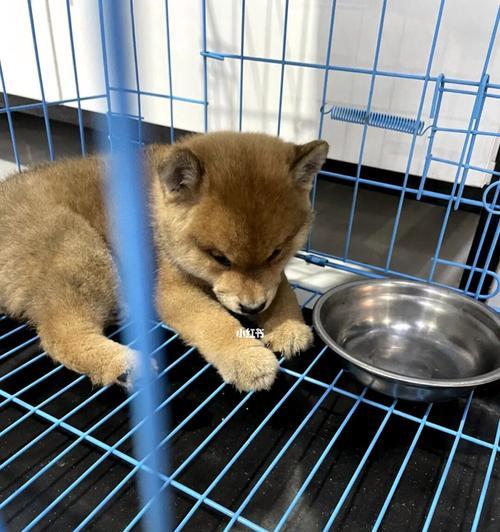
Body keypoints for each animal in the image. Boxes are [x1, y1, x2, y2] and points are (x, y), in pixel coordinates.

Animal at [0, 132, 328, 390]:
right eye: (219, 258)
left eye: (276, 253)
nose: (252, 308)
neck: (158, 212)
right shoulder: (171, 290)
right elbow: (214, 321)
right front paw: (246, 356)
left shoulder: (270, 278)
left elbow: (282, 287)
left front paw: (288, 324)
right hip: (80, 249)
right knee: (61, 335)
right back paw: (125, 364)